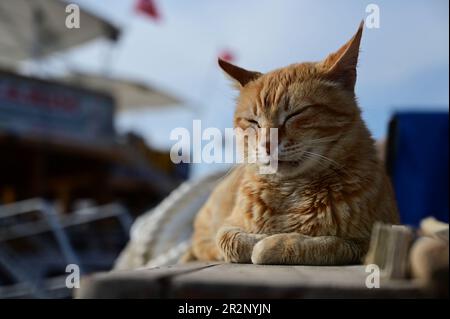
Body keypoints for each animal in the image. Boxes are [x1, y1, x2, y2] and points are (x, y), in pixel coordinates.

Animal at [185, 23, 400, 268]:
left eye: (295, 114)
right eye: (253, 122)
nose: (267, 144)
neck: (289, 190)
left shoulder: (370, 241)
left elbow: (321, 243)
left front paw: (272, 242)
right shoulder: (227, 228)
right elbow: (229, 240)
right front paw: (259, 238)